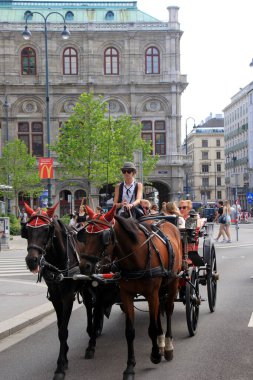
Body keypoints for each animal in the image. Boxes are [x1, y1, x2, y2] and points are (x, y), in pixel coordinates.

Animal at [21, 205, 107, 380]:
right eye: (27, 230)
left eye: (46, 229)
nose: (31, 260)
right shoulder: (55, 297)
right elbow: (60, 326)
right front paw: (65, 355)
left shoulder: (67, 297)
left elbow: (63, 331)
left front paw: (60, 366)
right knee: (89, 306)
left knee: (95, 308)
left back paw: (92, 342)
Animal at [77, 205, 182, 380]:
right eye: (84, 236)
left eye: (103, 237)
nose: (84, 266)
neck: (136, 257)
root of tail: (165, 222)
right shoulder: (127, 295)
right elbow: (130, 332)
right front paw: (130, 367)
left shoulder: (151, 294)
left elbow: (151, 328)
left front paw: (155, 355)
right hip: (160, 289)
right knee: (159, 311)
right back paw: (160, 341)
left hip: (173, 281)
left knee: (168, 310)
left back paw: (167, 346)